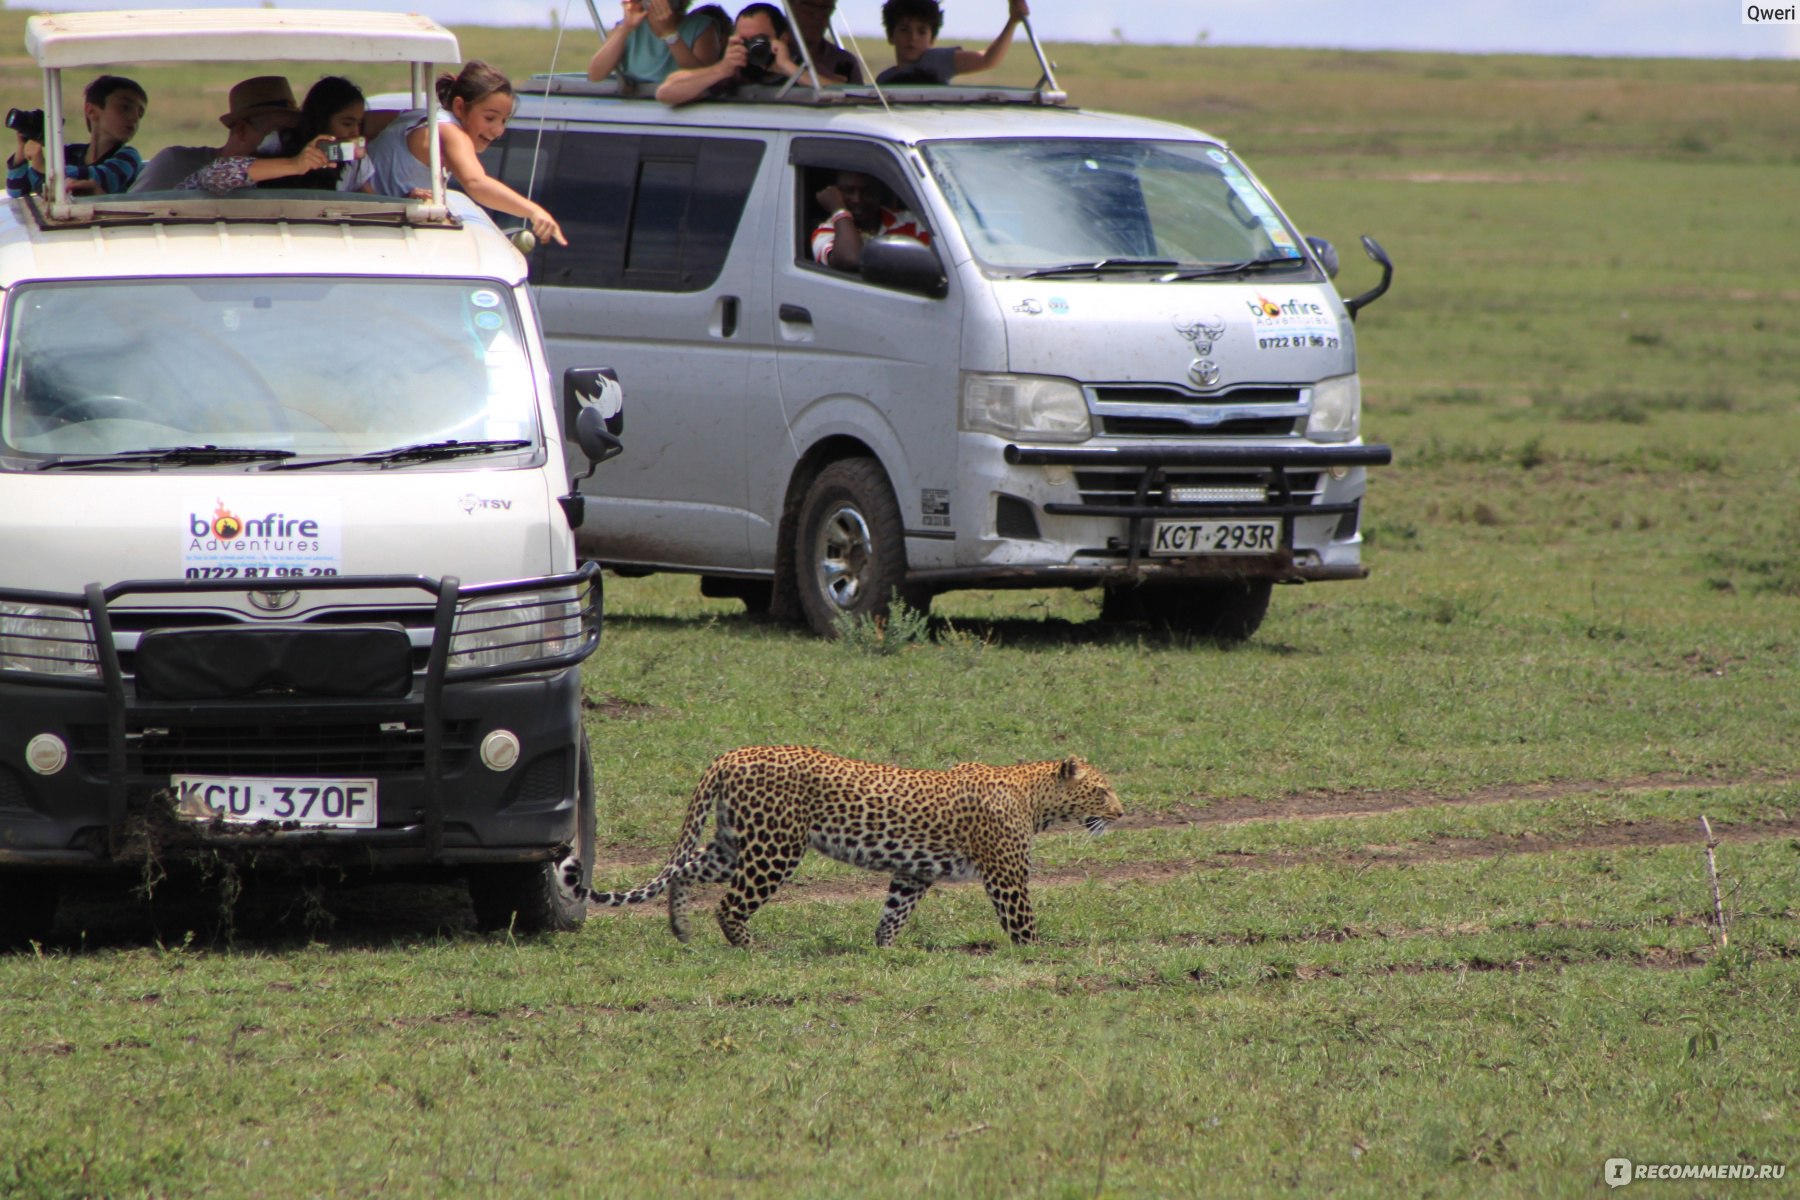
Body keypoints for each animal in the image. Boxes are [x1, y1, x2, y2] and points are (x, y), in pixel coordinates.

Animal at [579, 741, 1123, 949]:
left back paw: (680, 927)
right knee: (730, 905)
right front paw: (1041, 955)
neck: (1034, 799)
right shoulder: (1007, 877)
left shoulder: (913, 872)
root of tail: (732, 754)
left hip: (734, 842)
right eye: (1101, 790)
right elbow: (1024, 925)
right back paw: (753, 950)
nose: (1120, 813)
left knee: (686, 868)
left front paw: (884, 951)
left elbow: (893, 914)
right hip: (776, 848)